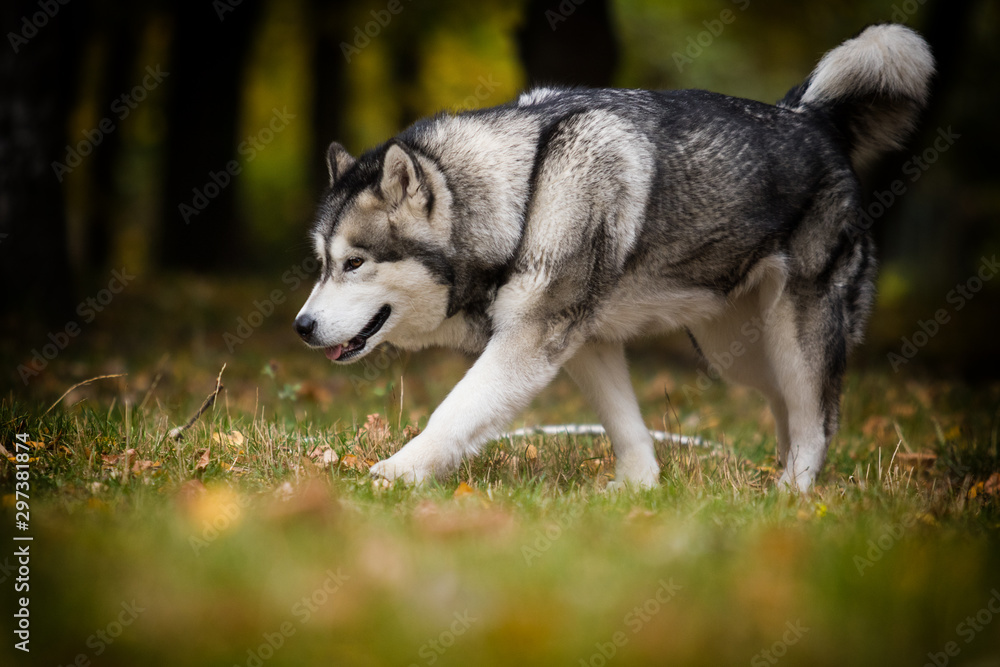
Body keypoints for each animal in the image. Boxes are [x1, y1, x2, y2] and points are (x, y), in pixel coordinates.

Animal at [292, 24, 932, 490]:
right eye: (322, 264)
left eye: (354, 264)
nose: (302, 327)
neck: (524, 197)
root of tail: (809, 117)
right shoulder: (585, 341)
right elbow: (628, 428)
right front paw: (637, 494)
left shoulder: (530, 340)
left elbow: (451, 413)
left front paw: (395, 474)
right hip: (739, 350)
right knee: (790, 411)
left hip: (793, 335)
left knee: (818, 420)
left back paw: (792, 500)